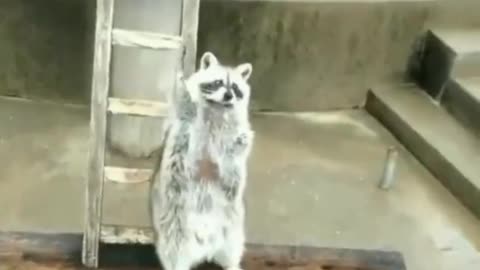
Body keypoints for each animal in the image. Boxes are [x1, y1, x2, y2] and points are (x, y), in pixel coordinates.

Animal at [150, 51, 255, 270]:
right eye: (218, 82)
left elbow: (238, 147)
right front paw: (182, 83)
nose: (228, 96)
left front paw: (240, 143)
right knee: (172, 251)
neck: (217, 109)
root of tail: (206, 247)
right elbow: (185, 106)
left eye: (235, 88)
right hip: (174, 227)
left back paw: (232, 264)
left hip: (232, 228)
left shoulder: (235, 132)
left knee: (233, 249)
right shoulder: (184, 123)